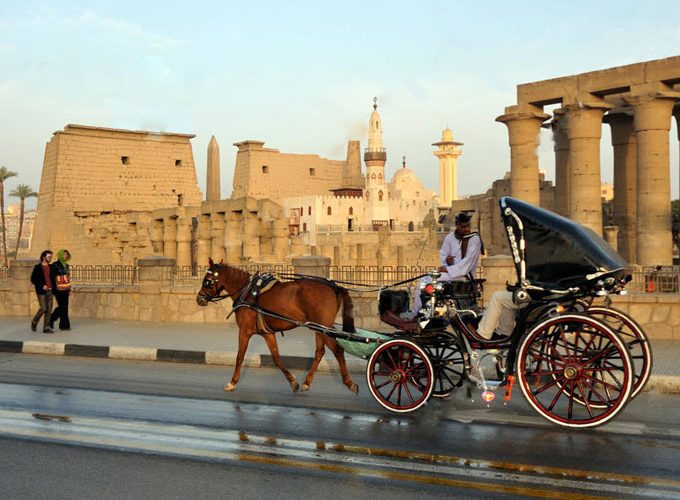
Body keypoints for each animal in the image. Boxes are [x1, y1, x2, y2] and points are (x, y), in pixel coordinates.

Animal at [195, 258, 358, 394]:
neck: (247, 292)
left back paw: (347, 382)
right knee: (323, 351)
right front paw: (292, 381)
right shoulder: (268, 333)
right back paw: (312, 382)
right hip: (319, 327)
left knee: (334, 350)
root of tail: (333, 287)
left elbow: (240, 356)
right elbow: (276, 358)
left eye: (207, 280)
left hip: (323, 327)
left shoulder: (245, 330)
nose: (199, 298)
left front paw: (232, 382)